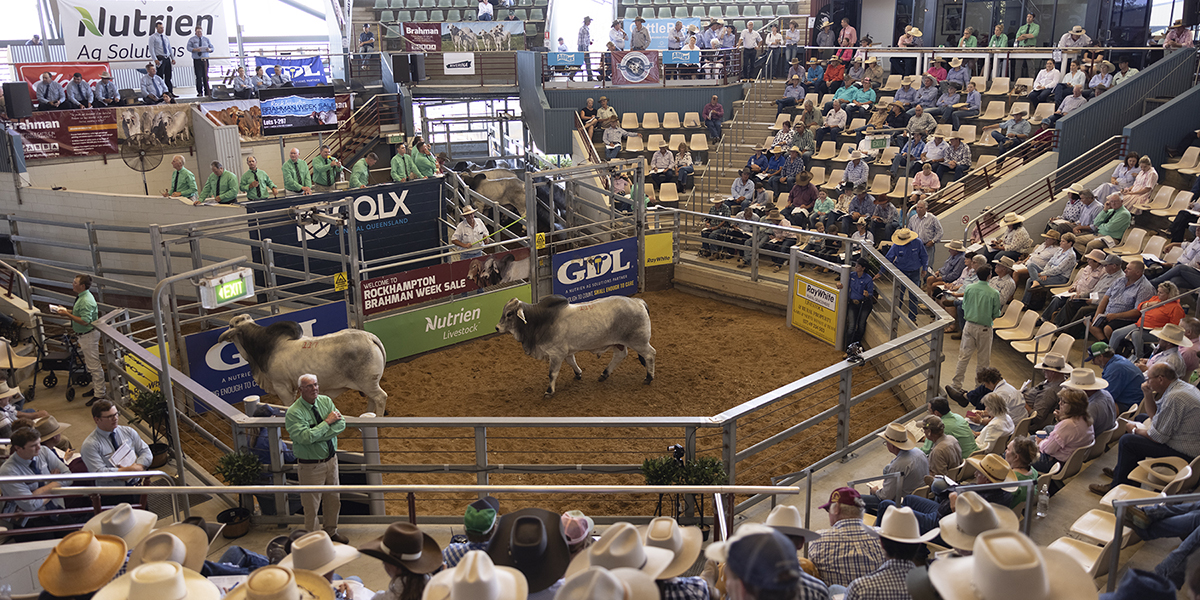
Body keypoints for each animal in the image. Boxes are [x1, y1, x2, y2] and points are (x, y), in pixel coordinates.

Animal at [213, 314, 386, 417]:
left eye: (230, 325)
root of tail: (369, 337)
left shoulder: (281, 386)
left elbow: (288, 406)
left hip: (367, 382)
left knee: (380, 398)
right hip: (368, 384)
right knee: (372, 399)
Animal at [492, 294, 657, 396]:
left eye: (509, 314)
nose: (497, 328)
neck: (540, 320)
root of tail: (638, 302)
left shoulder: (556, 353)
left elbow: (552, 373)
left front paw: (549, 391)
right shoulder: (566, 351)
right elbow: (572, 361)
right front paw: (578, 373)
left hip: (639, 341)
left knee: (650, 354)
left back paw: (649, 377)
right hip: (619, 343)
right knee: (620, 355)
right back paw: (604, 374)